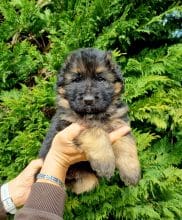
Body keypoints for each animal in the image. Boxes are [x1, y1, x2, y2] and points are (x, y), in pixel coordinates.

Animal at [39, 48, 140, 194]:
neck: (96, 115)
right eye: (76, 79)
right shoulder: (71, 123)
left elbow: (126, 144)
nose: (88, 100)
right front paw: (105, 162)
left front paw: (131, 172)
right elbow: (95, 131)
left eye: (100, 78)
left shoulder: (120, 124)